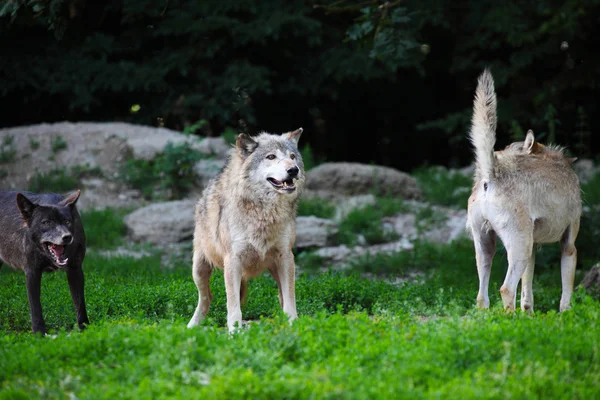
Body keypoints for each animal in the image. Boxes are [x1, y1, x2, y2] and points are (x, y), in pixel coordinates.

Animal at [0, 189, 89, 332]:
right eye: (46, 222)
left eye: (67, 221)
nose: (67, 237)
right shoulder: (32, 272)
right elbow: (35, 307)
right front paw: (39, 333)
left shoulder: (75, 269)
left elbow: (79, 303)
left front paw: (85, 329)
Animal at [188, 127, 304, 332]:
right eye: (271, 157)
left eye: (292, 156)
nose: (293, 169)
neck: (264, 212)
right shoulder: (232, 260)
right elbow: (233, 305)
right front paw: (234, 331)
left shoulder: (286, 256)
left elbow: (290, 300)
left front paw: (292, 325)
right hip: (199, 269)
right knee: (206, 297)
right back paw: (191, 326)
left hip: (276, 269)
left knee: (281, 296)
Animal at [466, 70, 580, 314]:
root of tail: (491, 175)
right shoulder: (569, 246)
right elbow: (566, 293)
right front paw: (566, 314)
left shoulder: (533, 248)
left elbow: (526, 291)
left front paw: (529, 314)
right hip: (518, 250)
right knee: (506, 289)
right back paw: (509, 320)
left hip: (487, 249)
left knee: (482, 296)